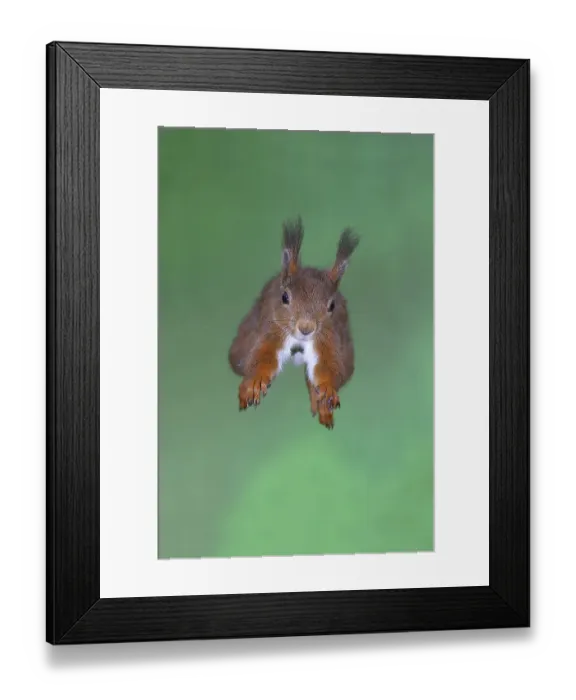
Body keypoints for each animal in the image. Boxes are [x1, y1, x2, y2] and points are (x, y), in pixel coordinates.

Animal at [228, 217, 359, 429]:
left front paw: (327, 389)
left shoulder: (328, 339)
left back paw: (322, 406)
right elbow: (263, 357)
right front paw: (256, 381)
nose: (306, 328)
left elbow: (327, 366)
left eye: (332, 305)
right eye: (284, 297)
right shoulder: (273, 329)